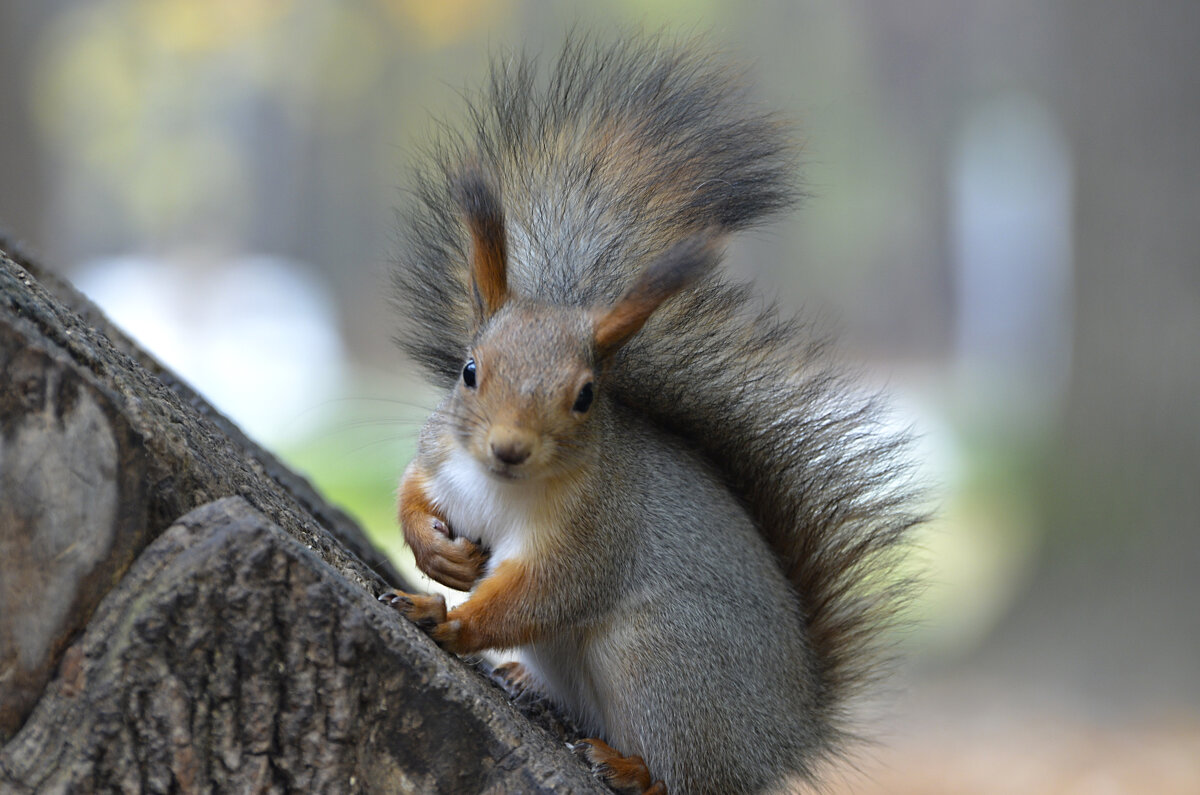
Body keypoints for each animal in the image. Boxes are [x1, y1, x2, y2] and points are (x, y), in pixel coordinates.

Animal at [379, 35, 921, 795]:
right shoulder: (442, 458)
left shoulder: (594, 534)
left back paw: (628, 764)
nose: (509, 448)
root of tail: (786, 739)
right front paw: (437, 556)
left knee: (687, 777)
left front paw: (451, 621)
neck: (500, 487)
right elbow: (411, 494)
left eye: (585, 395)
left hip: (660, 658)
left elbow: (537, 598)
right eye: (469, 370)